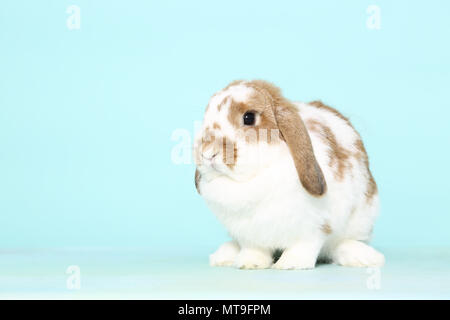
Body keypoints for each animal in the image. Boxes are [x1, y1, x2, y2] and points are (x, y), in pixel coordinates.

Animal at [192, 79, 384, 268]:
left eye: (249, 117)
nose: (208, 153)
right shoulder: (248, 234)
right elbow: (253, 248)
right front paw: (250, 262)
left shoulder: (314, 227)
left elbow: (304, 245)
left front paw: (290, 264)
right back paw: (223, 256)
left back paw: (366, 258)